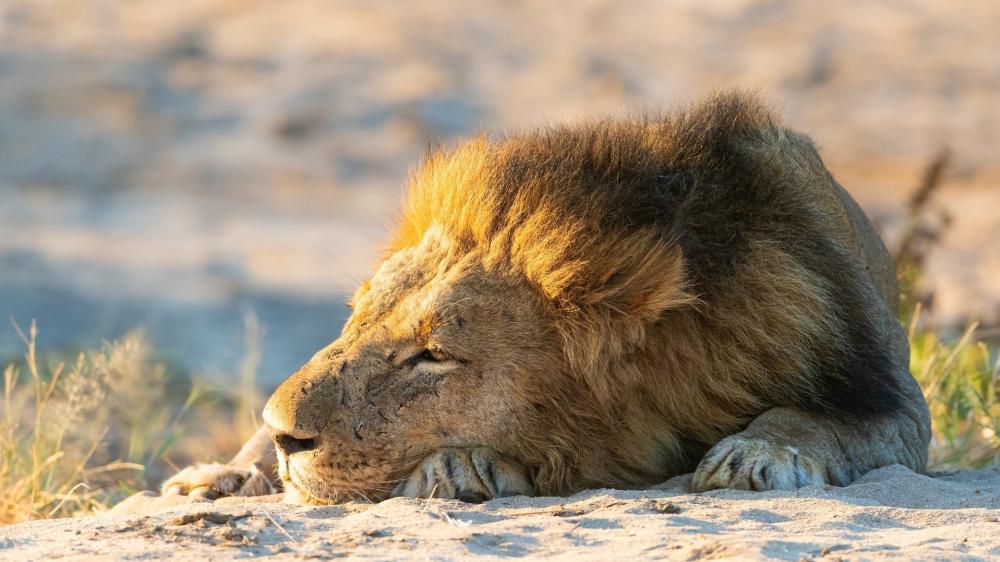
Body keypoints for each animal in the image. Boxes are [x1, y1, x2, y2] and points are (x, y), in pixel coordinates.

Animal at [163, 91, 931, 504]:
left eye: (433, 356)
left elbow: (820, 422)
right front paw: (462, 465)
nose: (287, 434)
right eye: (355, 320)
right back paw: (218, 477)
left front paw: (757, 452)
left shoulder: (898, 405)